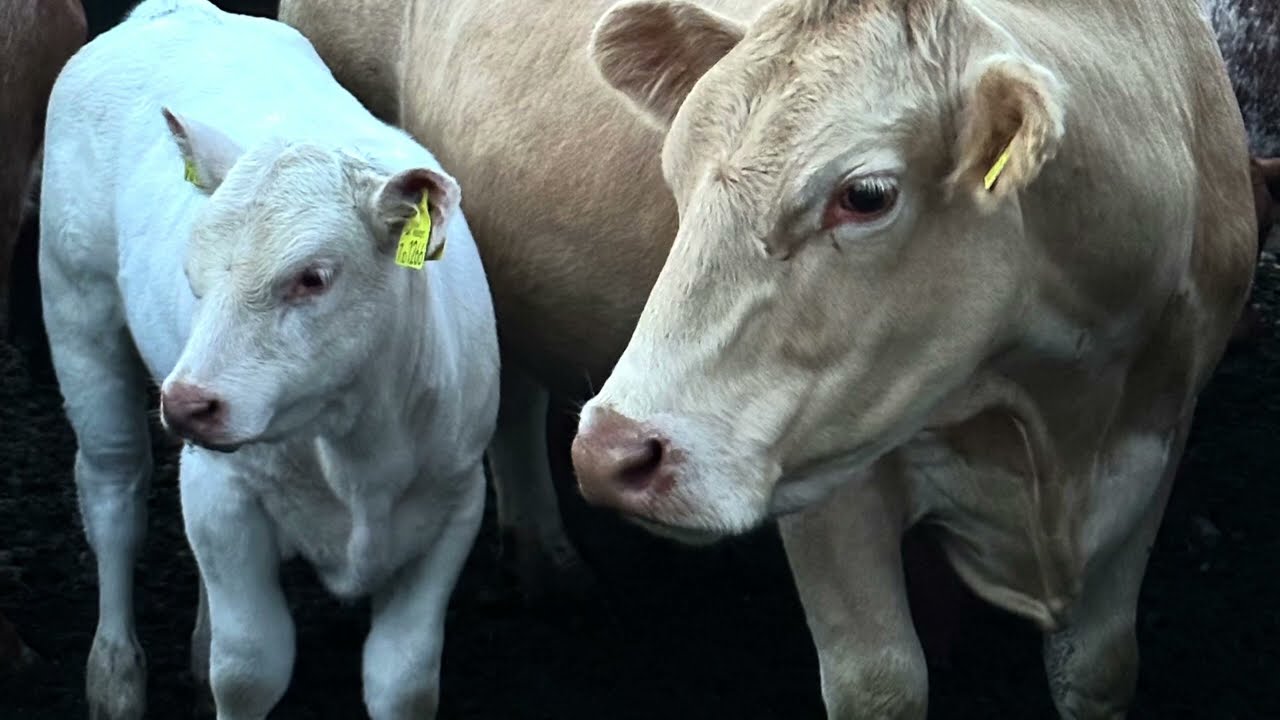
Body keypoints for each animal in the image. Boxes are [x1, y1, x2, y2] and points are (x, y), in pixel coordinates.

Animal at [40, 1, 499, 718]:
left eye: (313, 277)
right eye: (194, 271)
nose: (186, 404)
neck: (356, 439)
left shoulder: (455, 501)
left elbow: (403, 677)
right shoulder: (223, 491)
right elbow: (249, 667)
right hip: (75, 305)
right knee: (114, 491)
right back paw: (115, 676)